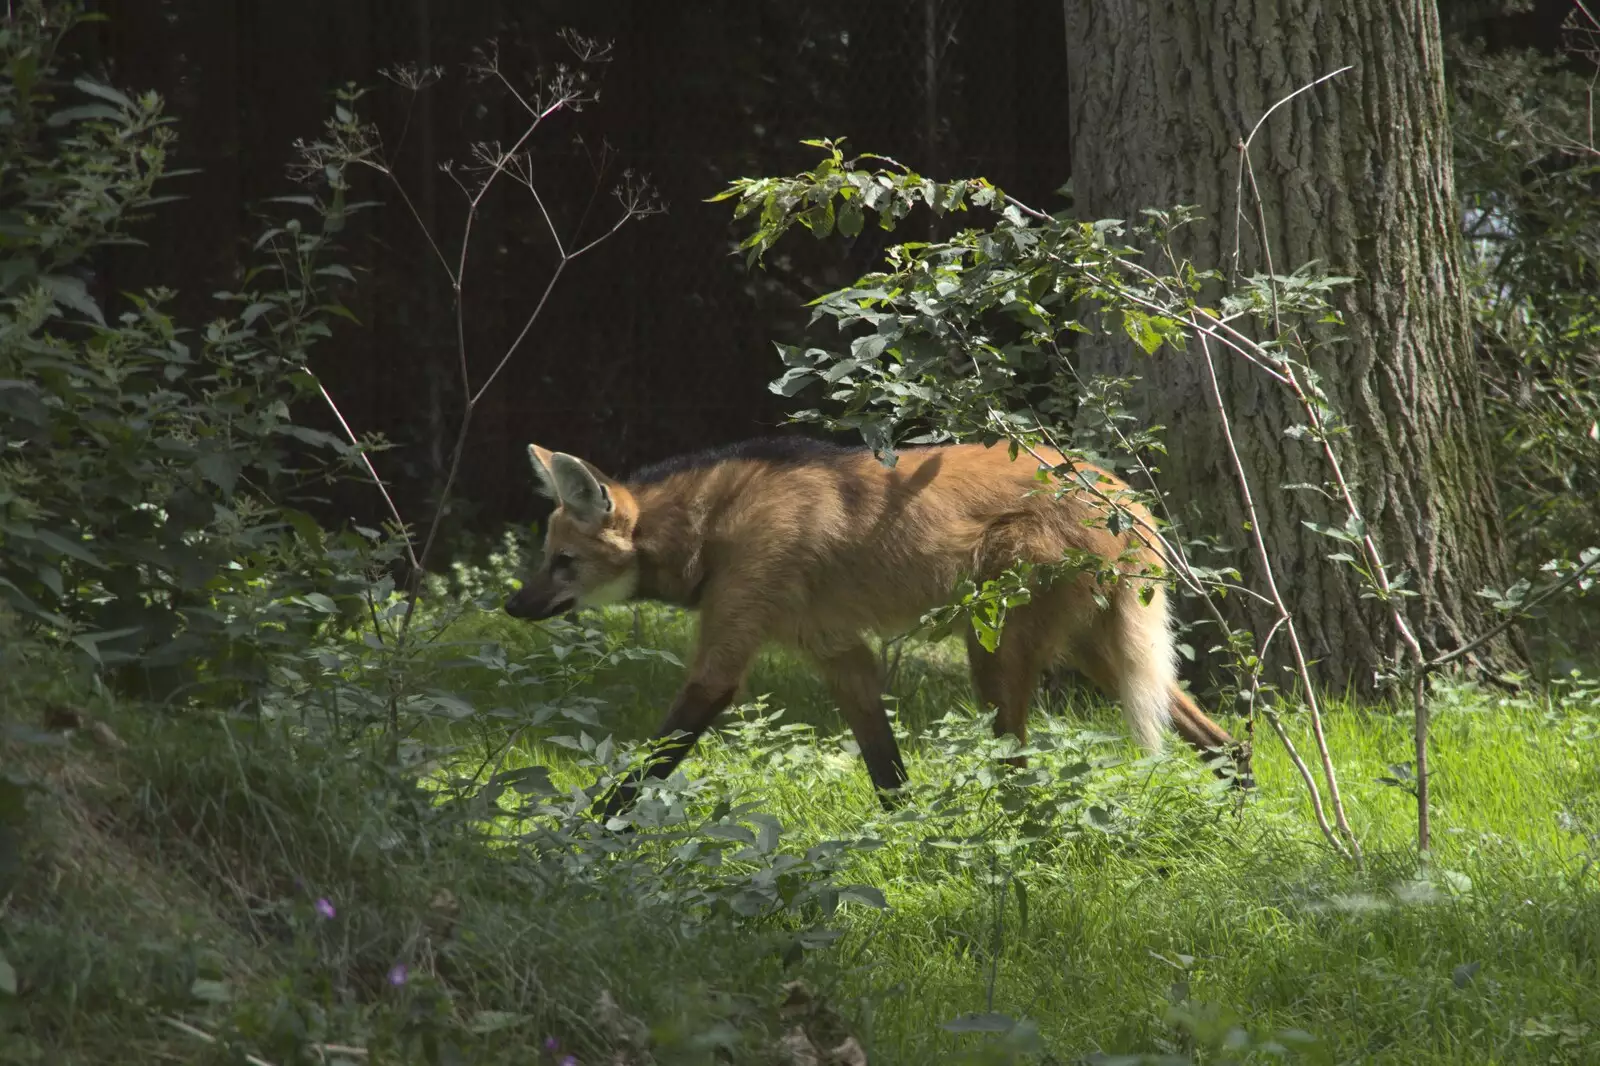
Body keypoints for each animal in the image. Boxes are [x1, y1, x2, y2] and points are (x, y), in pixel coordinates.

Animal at [508, 432, 1248, 813]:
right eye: (544, 557)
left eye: (563, 562)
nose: (513, 606)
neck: (709, 529)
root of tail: (1121, 493)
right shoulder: (839, 652)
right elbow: (885, 768)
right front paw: (906, 837)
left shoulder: (731, 644)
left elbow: (651, 761)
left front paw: (584, 839)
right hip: (1094, 643)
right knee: (1225, 742)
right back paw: (1242, 815)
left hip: (998, 642)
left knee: (1017, 764)